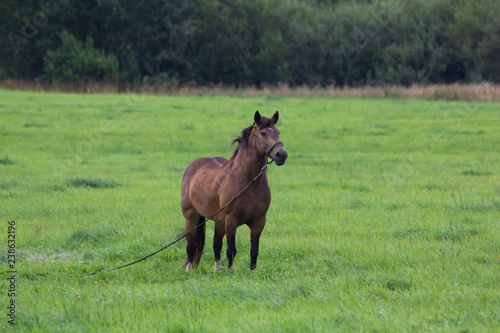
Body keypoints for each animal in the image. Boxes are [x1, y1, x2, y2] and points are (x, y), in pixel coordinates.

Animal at [182, 111, 288, 270]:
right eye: (262, 133)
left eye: (278, 132)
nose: (282, 155)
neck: (249, 184)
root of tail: (193, 166)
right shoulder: (231, 221)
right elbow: (231, 250)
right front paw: (230, 271)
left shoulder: (259, 222)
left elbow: (254, 250)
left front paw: (252, 271)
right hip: (191, 216)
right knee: (191, 246)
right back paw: (189, 269)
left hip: (219, 221)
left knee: (216, 244)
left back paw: (217, 270)